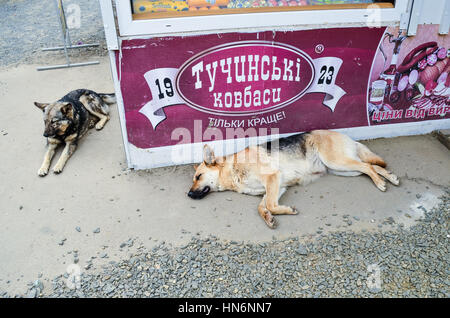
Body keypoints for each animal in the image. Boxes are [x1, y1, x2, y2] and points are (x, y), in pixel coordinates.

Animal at [188, 130, 400, 230]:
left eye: (198, 177)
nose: (189, 194)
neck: (232, 169)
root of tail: (345, 135)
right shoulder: (276, 186)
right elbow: (262, 207)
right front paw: (269, 217)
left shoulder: (273, 178)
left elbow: (270, 205)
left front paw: (285, 211)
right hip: (342, 169)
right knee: (371, 166)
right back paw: (390, 177)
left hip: (337, 162)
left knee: (367, 167)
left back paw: (381, 183)